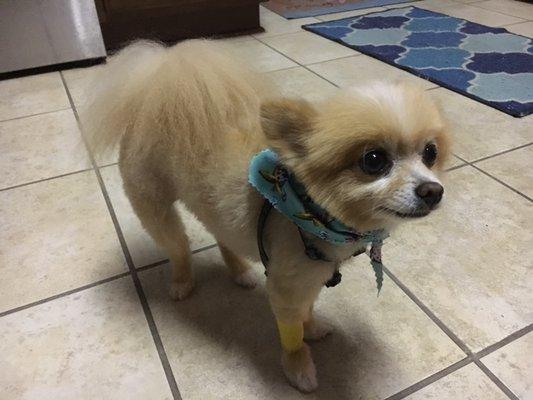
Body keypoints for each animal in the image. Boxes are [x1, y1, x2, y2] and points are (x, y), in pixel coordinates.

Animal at [83, 39, 448, 390]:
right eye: (374, 160)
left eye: (430, 153)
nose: (433, 191)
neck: (312, 212)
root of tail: (155, 91)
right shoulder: (287, 285)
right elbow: (292, 330)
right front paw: (298, 366)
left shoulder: (311, 277)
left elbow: (308, 308)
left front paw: (312, 326)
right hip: (153, 206)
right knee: (178, 247)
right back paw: (182, 281)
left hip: (214, 208)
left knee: (222, 235)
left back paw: (240, 271)